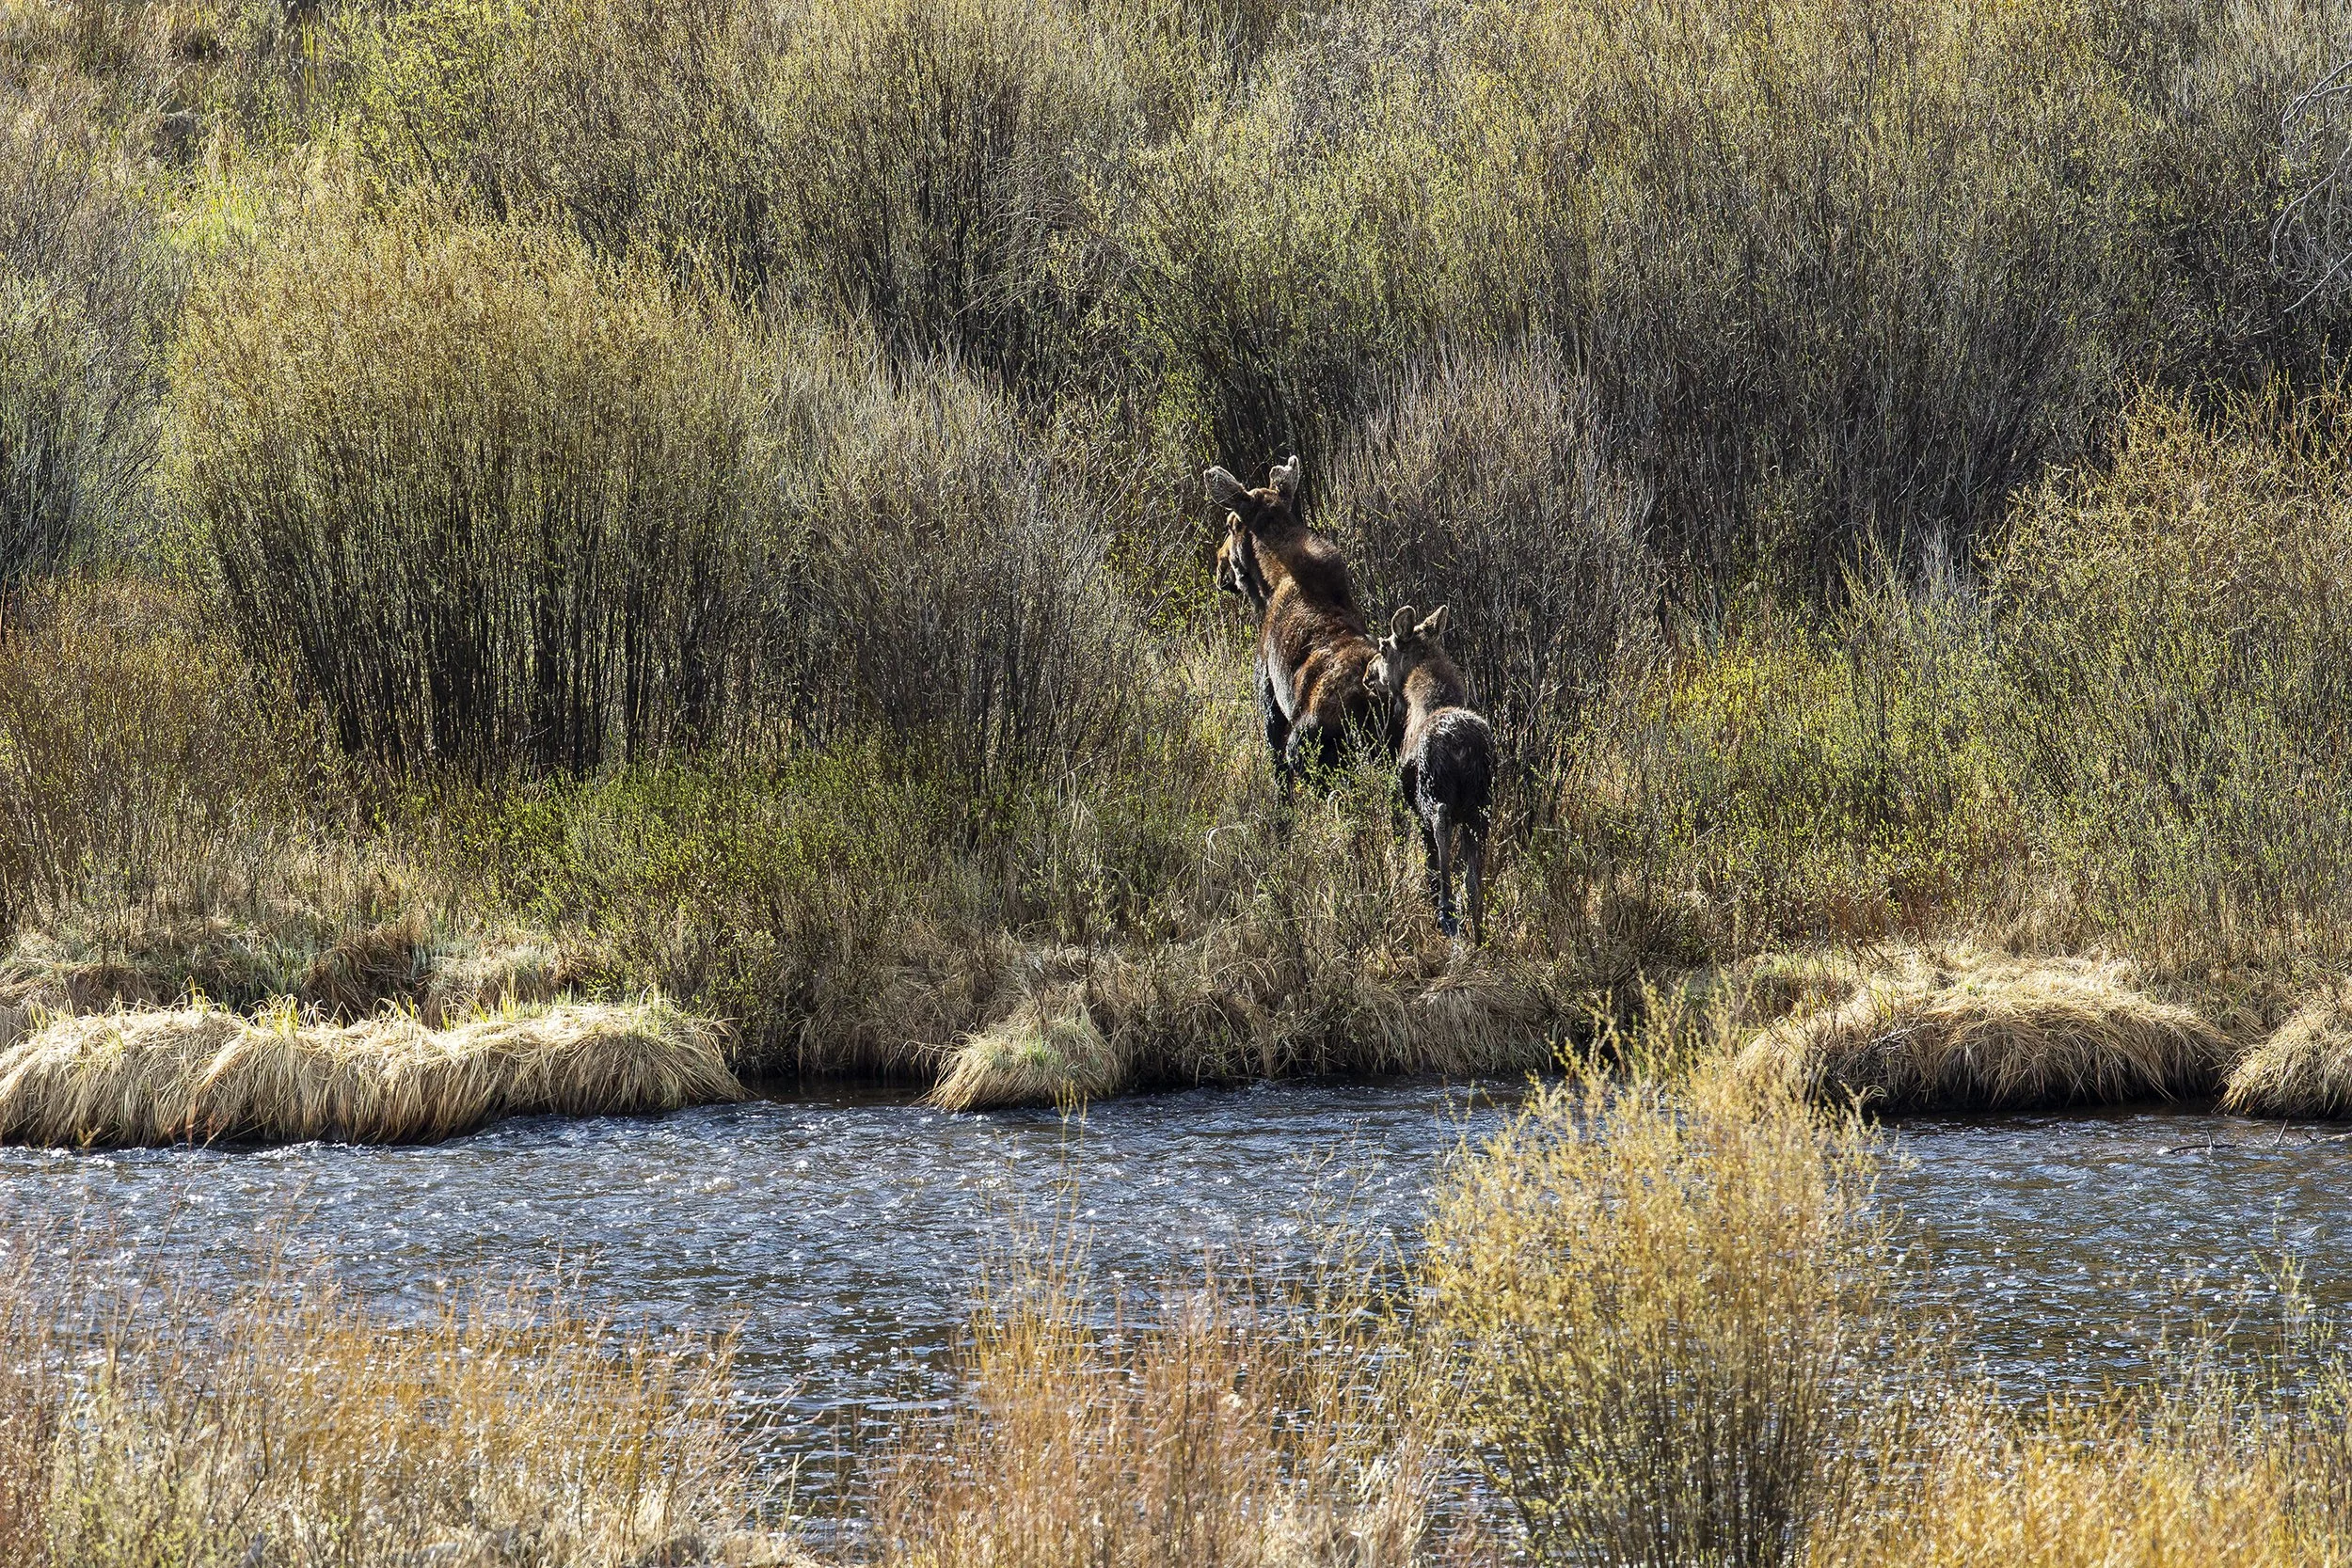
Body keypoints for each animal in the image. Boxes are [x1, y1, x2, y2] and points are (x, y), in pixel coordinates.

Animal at [1204, 456, 1390, 790]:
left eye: (1230, 524)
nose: (1220, 565)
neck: (1270, 582)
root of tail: (1371, 701)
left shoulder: (1268, 692)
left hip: (1308, 752)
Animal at [1366, 604, 1495, 943]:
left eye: (1384, 647)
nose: (1368, 674)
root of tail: (1462, 746)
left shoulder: (1411, 804)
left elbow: (1428, 860)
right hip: (1481, 805)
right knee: (1474, 875)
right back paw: (1475, 926)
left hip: (1433, 794)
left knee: (1441, 823)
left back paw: (1447, 909)